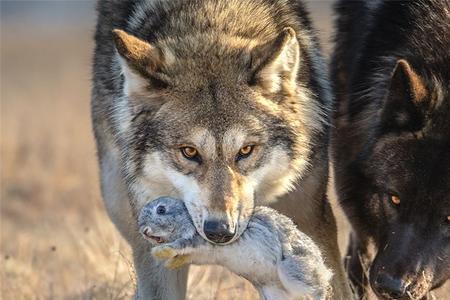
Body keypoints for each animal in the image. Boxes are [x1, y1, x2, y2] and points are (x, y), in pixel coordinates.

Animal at [139, 197, 332, 300]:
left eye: (161, 210)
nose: (144, 230)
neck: (189, 218)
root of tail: (320, 264)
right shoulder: (197, 254)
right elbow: (183, 255)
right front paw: (169, 263)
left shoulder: (196, 238)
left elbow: (178, 245)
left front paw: (159, 252)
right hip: (273, 291)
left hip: (292, 270)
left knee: (318, 288)